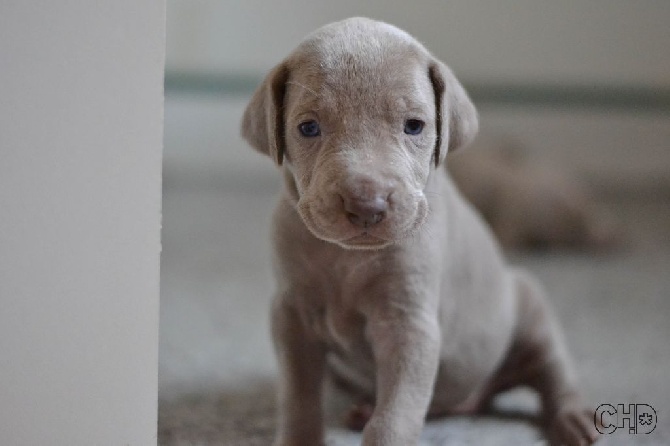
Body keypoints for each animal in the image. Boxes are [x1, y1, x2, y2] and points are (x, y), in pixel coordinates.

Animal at [240, 17, 600, 446]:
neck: (349, 258)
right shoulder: (292, 316)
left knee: (554, 373)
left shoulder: (407, 323)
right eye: (308, 127)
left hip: (531, 310)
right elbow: (298, 397)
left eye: (414, 126)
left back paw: (574, 418)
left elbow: (394, 417)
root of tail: (474, 401)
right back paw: (364, 410)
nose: (367, 205)